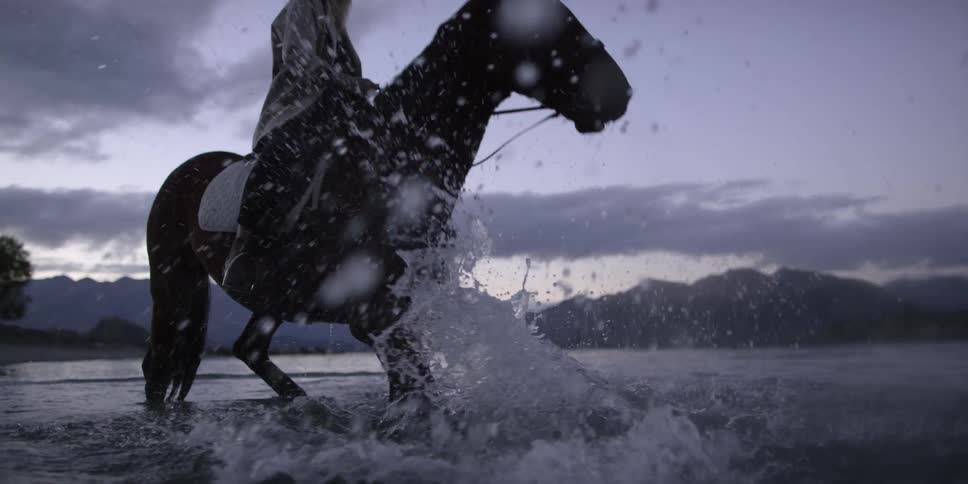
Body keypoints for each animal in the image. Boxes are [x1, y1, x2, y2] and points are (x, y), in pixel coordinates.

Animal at [142, 0, 631, 404]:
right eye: (550, 25)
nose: (621, 93)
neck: (392, 152)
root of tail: (185, 171)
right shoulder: (370, 299)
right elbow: (411, 378)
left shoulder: (395, 301)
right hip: (174, 281)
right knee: (160, 363)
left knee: (248, 348)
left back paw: (306, 405)